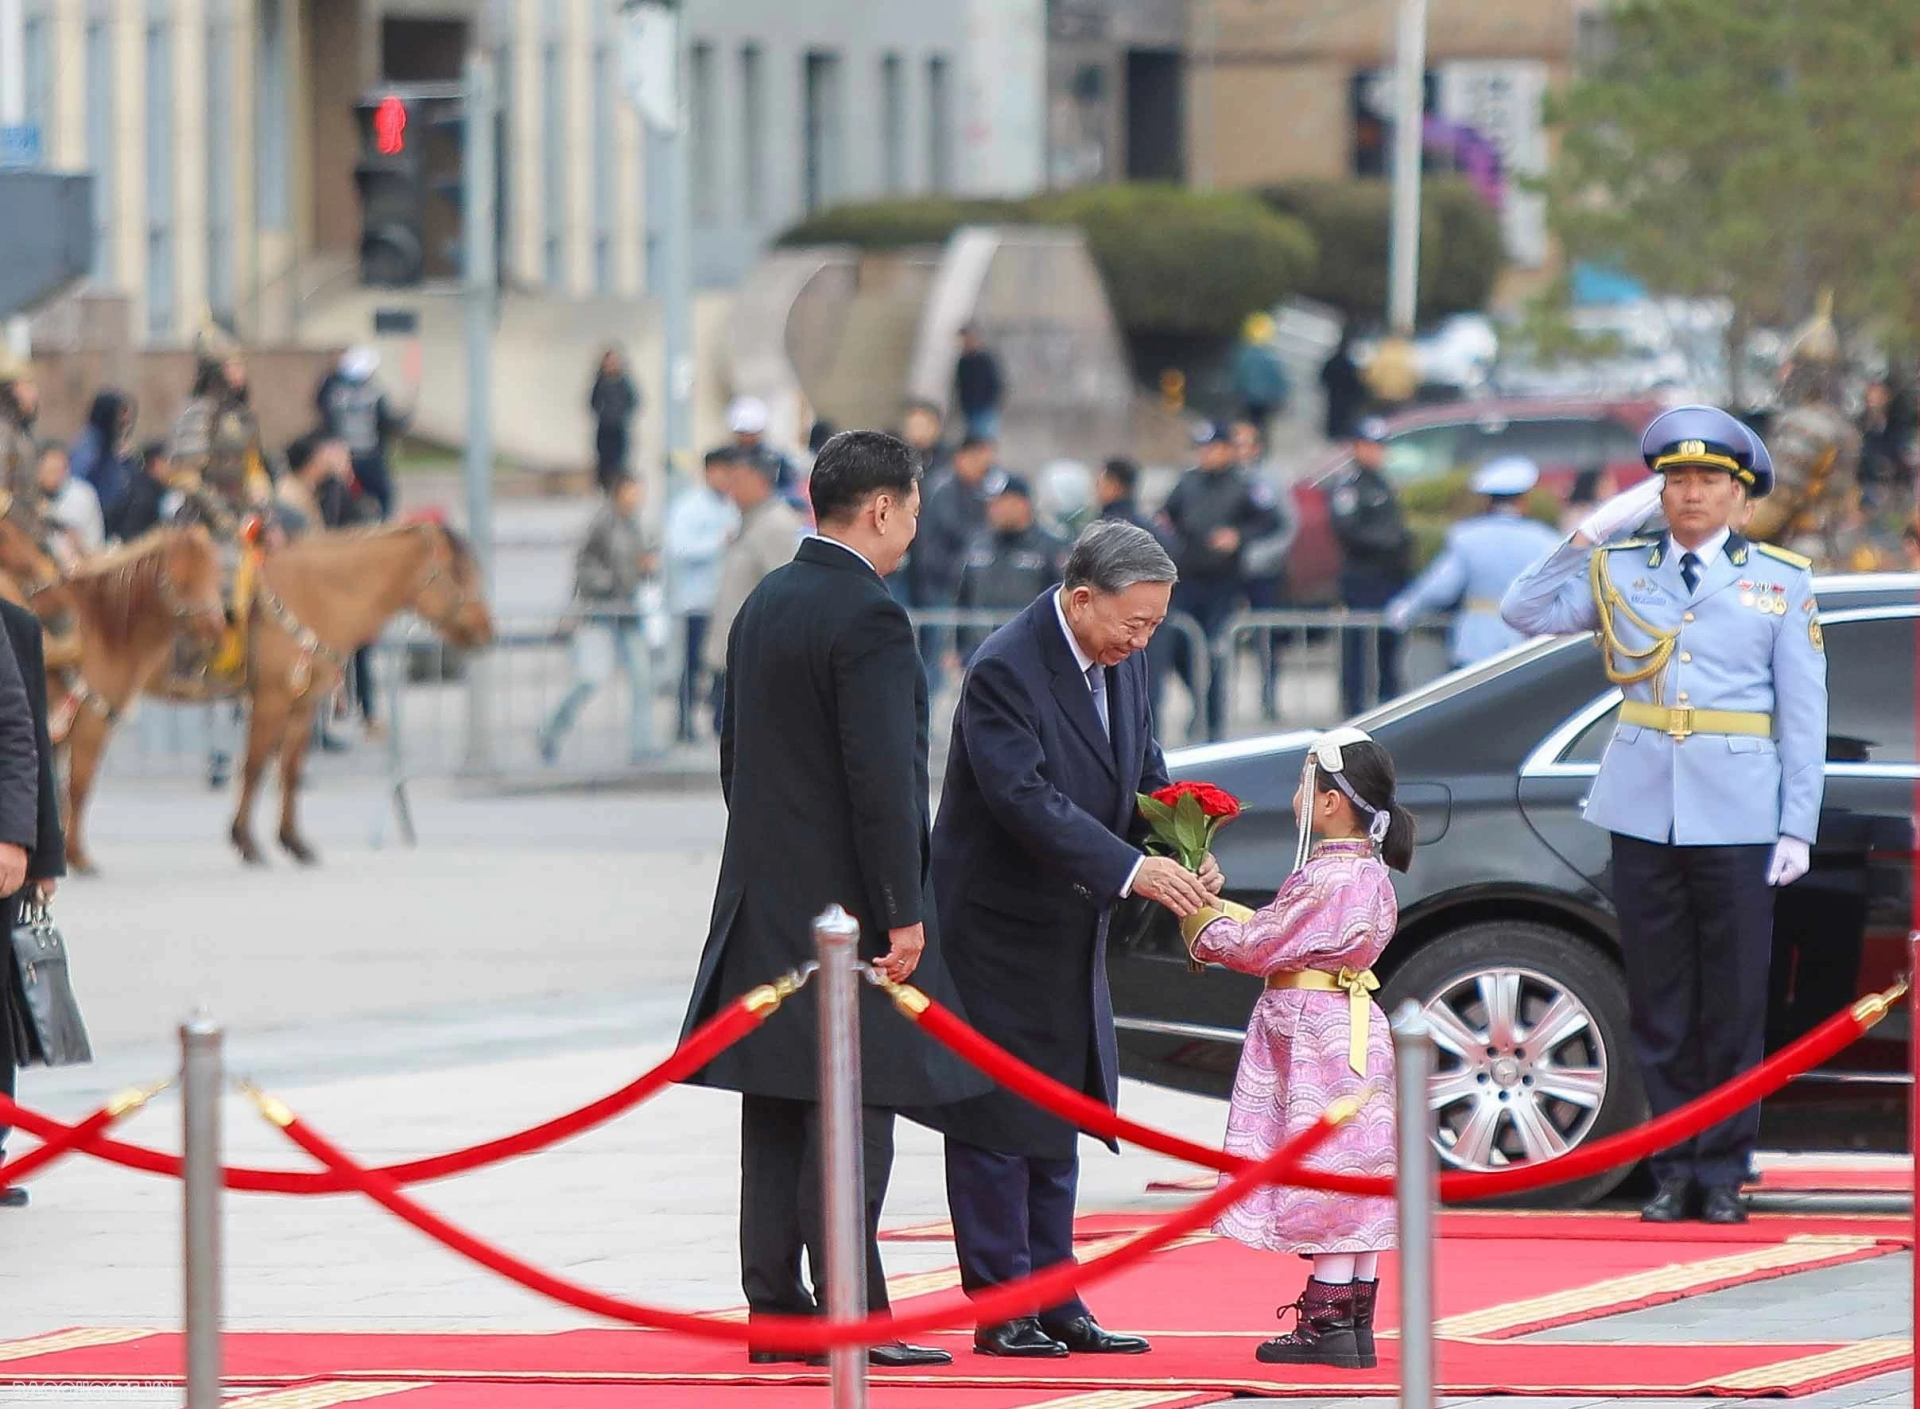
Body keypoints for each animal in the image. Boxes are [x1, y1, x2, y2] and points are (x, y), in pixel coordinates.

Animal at [222, 525, 487, 867]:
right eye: (458, 573)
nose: (487, 629)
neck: (313, 597)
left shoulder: (302, 704)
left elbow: (290, 771)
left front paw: (293, 842)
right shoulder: (270, 700)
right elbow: (253, 768)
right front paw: (244, 841)